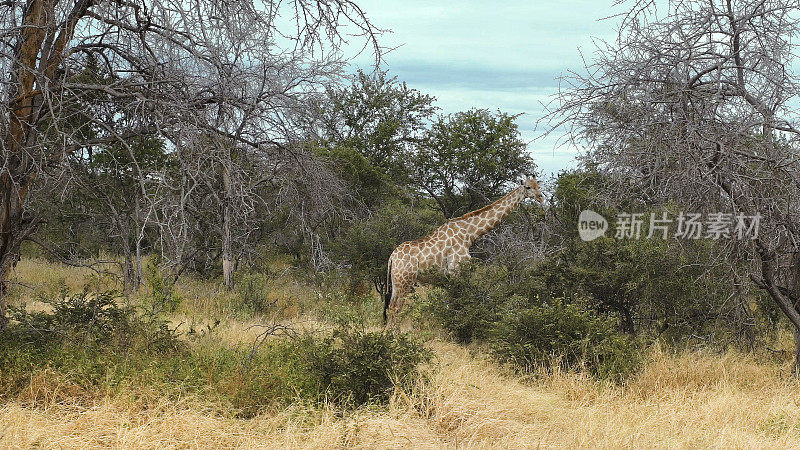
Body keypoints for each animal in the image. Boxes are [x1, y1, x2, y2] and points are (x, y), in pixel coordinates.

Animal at [384, 176, 548, 326]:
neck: (469, 235)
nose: (541, 197)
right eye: (528, 187)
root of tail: (392, 257)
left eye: (538, 185)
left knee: (391, 307)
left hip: (396, 282)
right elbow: (454, 304)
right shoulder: (455, 271)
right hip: (405, 282)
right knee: (396, 308)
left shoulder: (452, 275)